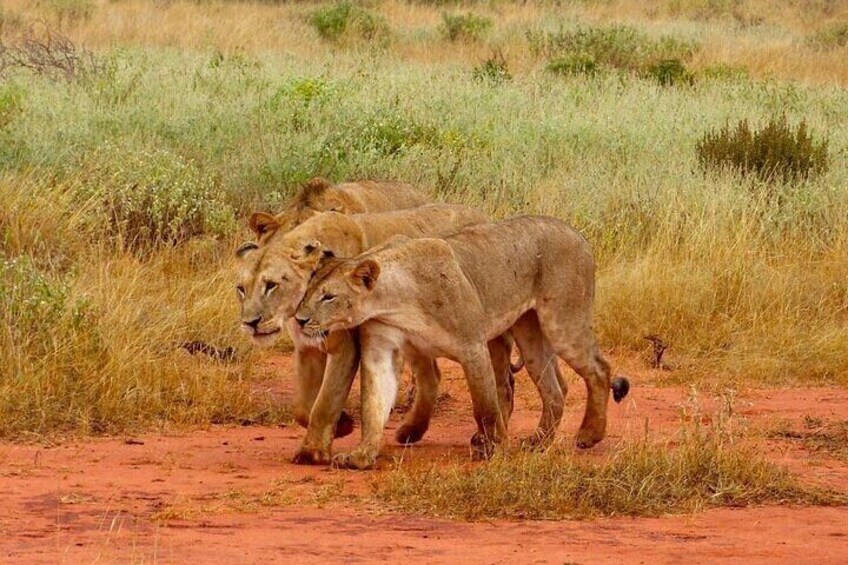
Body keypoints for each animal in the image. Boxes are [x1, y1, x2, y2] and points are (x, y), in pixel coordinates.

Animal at [232, 203, 512, 462]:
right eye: (241, 289)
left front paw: (315, 451)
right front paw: (340, 426)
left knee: (499, 377)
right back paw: (412, 431)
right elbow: (303, 406)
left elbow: (324, 402)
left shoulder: (346, 347)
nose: (250, 322)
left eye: (271, 285)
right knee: (432, 375)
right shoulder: (307, 348)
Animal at [296, 215, 628, 468]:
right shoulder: (381, 349)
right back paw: (538, 442)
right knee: (555, 389)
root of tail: (577, 233)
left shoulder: (472, 345)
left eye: (329, 296)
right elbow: (374, 405)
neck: (395, 300)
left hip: (562, 323)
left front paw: (494, 448)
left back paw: (588, 435)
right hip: (530, 333)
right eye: (307, 291)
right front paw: (362, 455)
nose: (299, 319)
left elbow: (485, 406)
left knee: (599, 369)